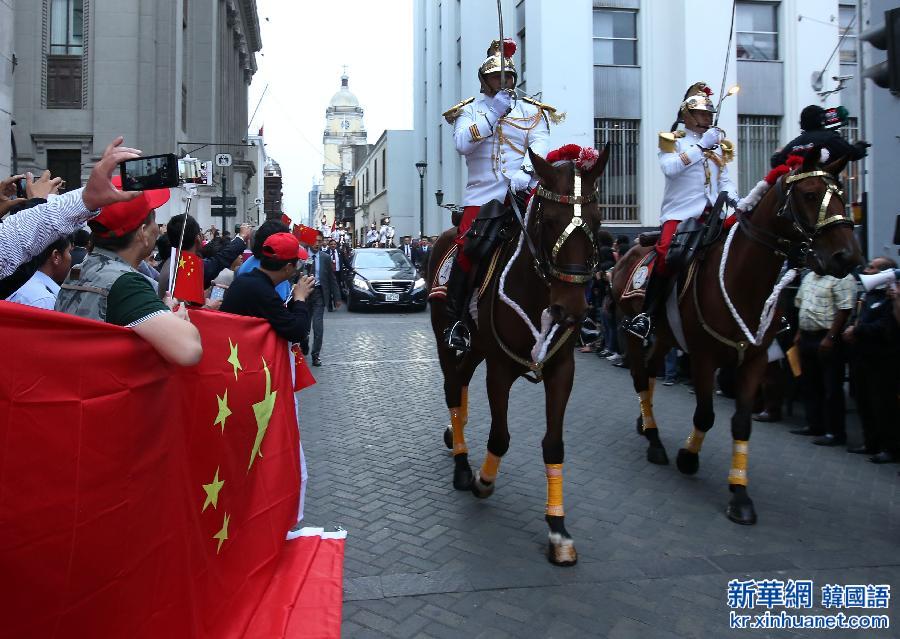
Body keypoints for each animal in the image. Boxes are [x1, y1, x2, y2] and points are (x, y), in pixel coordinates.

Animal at [428, 145, 612, 564]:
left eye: (597, 219)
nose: (572, 310)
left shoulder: (562, 369)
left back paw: (454, 435)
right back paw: (462, 465)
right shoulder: (499, 369)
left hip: (475, 347)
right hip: (447, 339)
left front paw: (558, 530)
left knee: (461, 383)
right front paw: (483, 480)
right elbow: (500, 437)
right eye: (551, 220)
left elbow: (553, 444)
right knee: (452, 388)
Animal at [616, 150, 860, 524]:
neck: (744, 279)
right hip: (633, 329)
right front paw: (688, 457)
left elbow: (742, 424)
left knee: (653, 371)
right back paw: (655, 441)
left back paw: (646, 423)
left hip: (666, 337)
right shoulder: (703, 357)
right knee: (641, 379)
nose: (847, 256)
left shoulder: (755, 358)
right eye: (809, 194)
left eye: (842, 195)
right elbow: (705, 415)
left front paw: (740, 495)